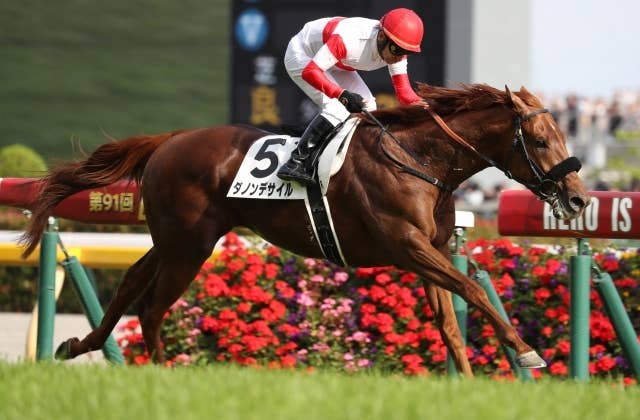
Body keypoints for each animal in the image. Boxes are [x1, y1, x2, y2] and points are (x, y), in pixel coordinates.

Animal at [21, 83, 590, 376]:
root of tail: (170, 139)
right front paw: (526, 350)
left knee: (132, 285)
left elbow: (450, 323)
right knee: (152, 306)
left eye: (563, 135)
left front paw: (468, 386)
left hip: (174, 240)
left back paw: (77, 346)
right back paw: (161, 373)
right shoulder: (406, 247)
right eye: (541, 140)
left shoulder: (427, 250)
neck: (420, 160)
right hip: (190, 246)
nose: (579, 198)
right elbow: (473, 288)